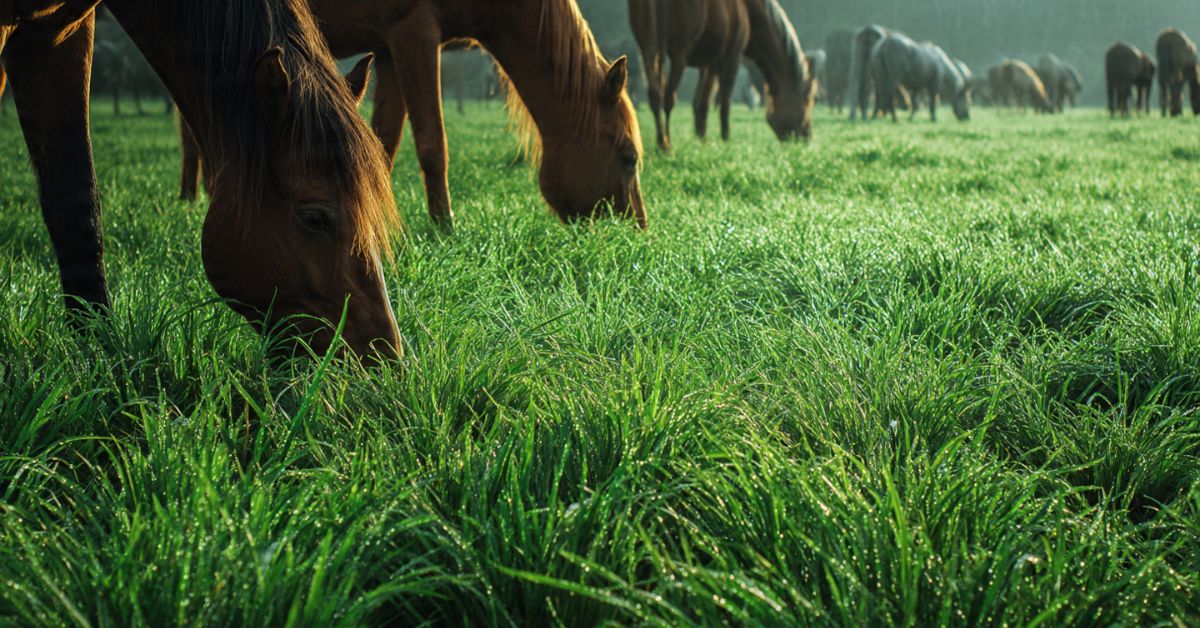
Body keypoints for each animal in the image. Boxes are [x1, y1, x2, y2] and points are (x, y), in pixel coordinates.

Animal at [181, 0, 645, 229]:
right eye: (629, 158)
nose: (636, 232)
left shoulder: (386, 50)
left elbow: (383, 141)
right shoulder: (414, 32)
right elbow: (431, 143)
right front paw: (445, 228)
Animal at [629, 0, 818, 150]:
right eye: (806, 104)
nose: (807, 138)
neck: (749, 8)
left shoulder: (708, 64)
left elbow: (701, 102)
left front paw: (701, 138)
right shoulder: (732, 57)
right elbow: (725, 101)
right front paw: (725, 138)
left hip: (647, 49)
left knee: (655, 96)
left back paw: (661, 141)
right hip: (679, 54)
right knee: (668, 98)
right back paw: (666, 144)